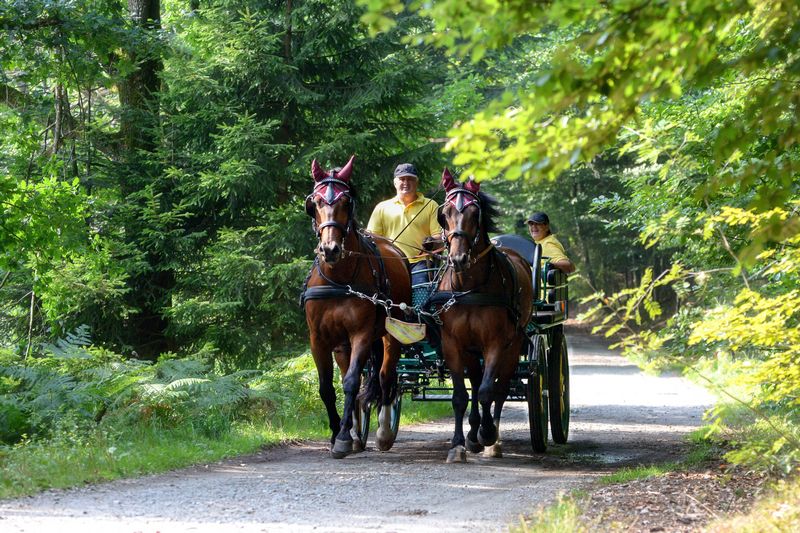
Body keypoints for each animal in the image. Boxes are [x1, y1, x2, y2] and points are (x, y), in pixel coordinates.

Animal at [300, 154, 412, 458]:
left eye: (345, 202)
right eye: (315, 202)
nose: (330, 249)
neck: (339, 278)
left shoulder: (361, 334)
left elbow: (352, 383)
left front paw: (341, 438)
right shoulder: (318, 338)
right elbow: (328, 387)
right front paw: (339, 432)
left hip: (392, 333)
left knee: (385, 377)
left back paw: (383, 432)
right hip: (342, 344)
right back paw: (355, 431)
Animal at [432, 167, 532, 462]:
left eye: (474, 213)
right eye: (445, 213)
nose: (458, 259)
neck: (469, 288)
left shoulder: (496, 343)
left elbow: (489, 391)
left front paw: (487, 433)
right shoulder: (453, 344)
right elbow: (460, 395)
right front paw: (458, 444)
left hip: (513, 345)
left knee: (500, 388)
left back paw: (492, 439)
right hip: (471, 349)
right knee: (475, 383)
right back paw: (474, 434)